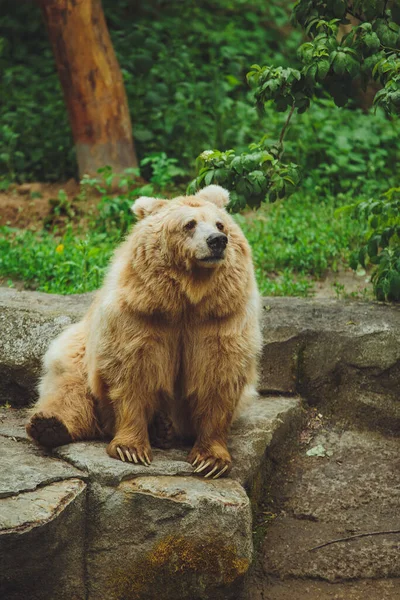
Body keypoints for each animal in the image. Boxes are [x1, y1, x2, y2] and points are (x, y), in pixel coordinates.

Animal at [25, 184, 262, 478]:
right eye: (190, 224)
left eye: (220, 224)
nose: (217, 241)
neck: (188, 298)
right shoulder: (141, 316)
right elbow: (133, 372)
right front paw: (131, 449)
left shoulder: (220, 318)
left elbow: (219, 376)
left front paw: (211, 460)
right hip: (79, 349)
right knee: (70, 386)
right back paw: (49, 425)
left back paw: (164, 428)